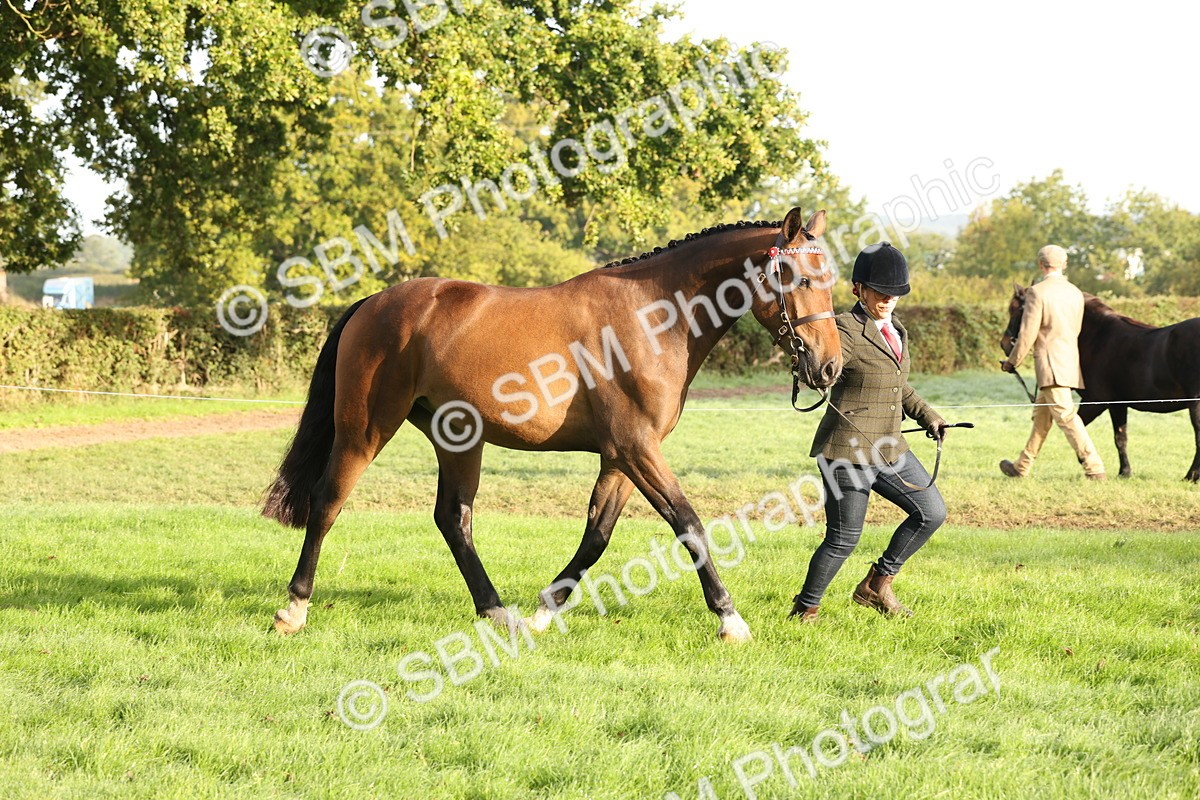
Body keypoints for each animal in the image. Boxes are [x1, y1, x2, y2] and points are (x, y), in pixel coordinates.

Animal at [261, 207, 842, 642]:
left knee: (454, 518)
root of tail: (373, 303)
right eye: (798, 277)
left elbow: (598, 535)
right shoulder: (637, 448)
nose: (829, 368)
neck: (654, 316)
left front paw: (544, 611)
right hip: (364, 429)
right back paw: (293, 609)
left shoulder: (621, 456)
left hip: (457, 439)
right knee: (328, 502)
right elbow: (689, 524)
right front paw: (730, 619)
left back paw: (499, 613)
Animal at [1002, 285, 1200, 481]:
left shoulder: (1094, 402)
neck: (1099, 339)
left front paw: (1089, 465)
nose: (1003, 344)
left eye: (1016, 310)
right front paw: (1124, 472)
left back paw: (1190, 476)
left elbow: (1078, 428)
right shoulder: (1117, 404)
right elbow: (1120, 438)